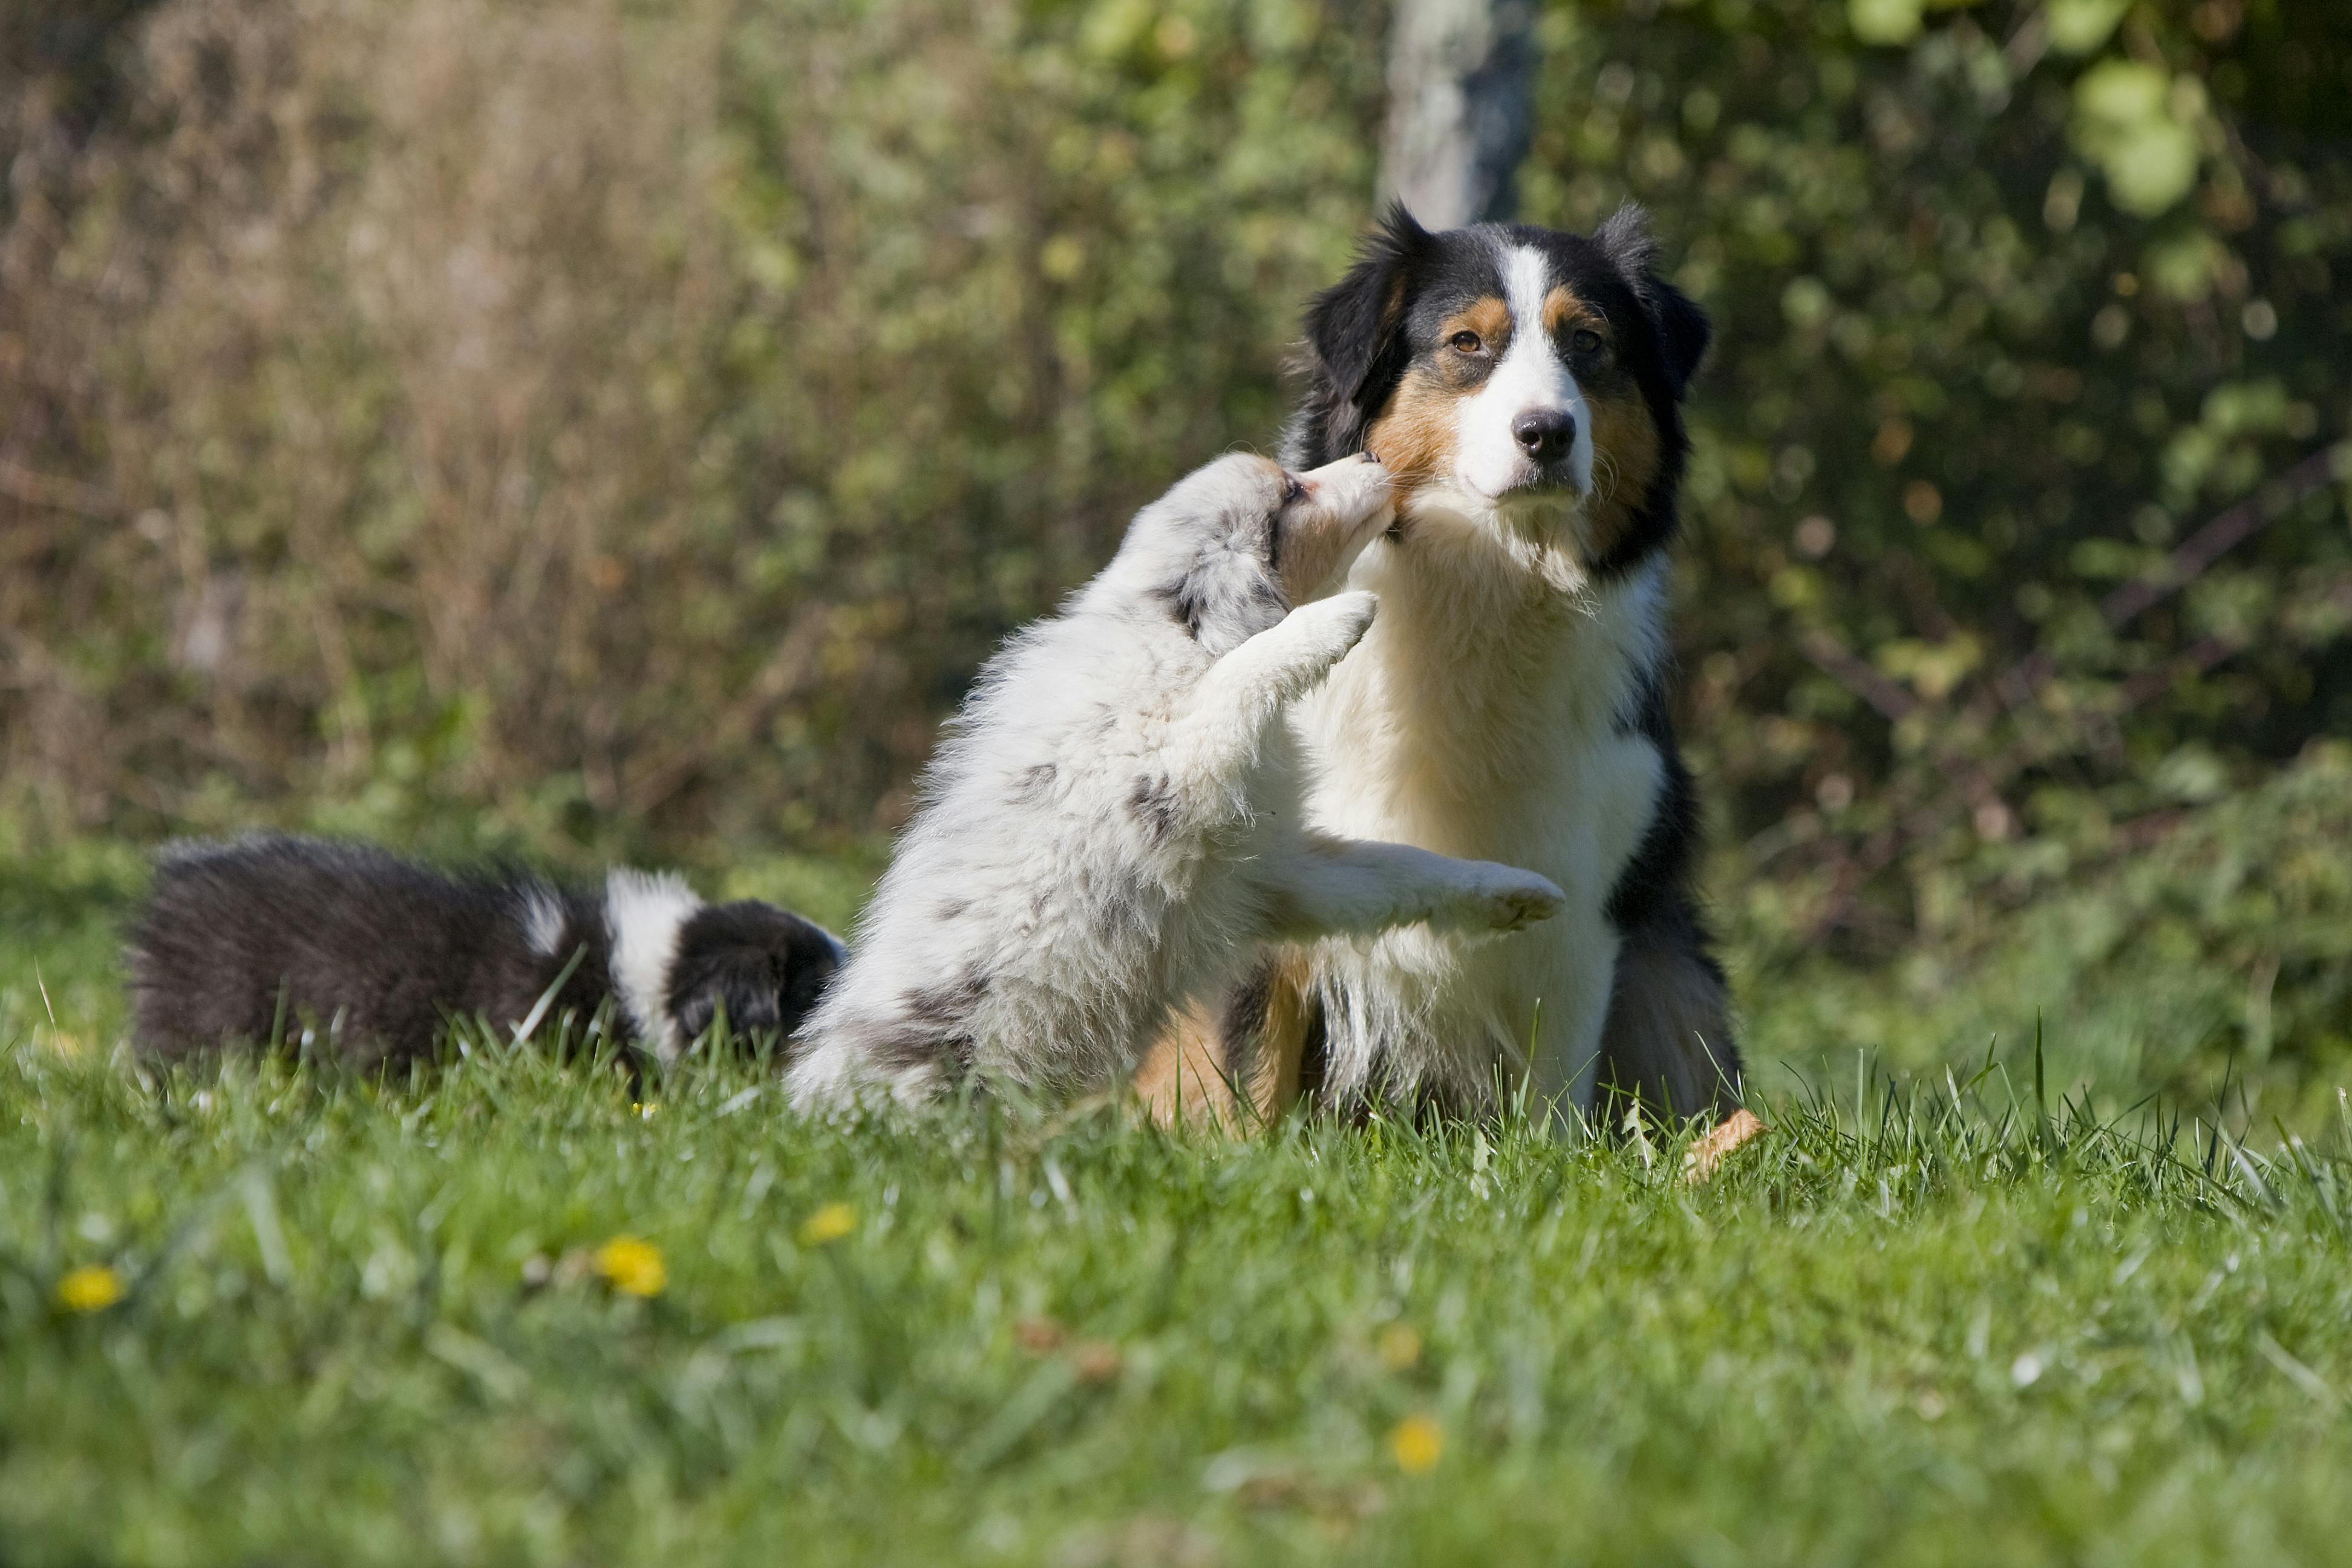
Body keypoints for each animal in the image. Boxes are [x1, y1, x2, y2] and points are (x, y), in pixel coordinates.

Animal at [780, 454, 1571, 1109]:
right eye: (1292, 491)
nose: (1377, 455)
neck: (1175, 634)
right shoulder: (1176, 757)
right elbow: (1243, 673)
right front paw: (1335, 617)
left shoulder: (1273, 870)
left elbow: (1405, 870)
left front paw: (1515, 891)